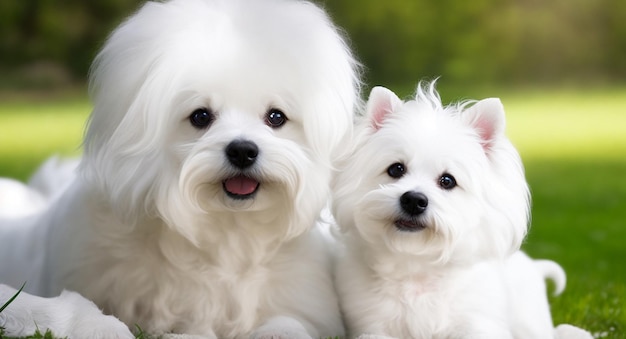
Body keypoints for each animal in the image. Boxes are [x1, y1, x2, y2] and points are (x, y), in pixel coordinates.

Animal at [332, 83, 572, 339]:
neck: (417, 267)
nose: (414, 200)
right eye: (396, 169)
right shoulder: (372, 324)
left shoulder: (479, 323)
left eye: (447, 181)